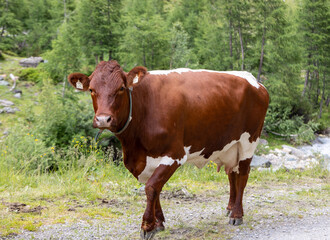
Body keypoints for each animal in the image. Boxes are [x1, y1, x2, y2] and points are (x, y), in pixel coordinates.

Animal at [68, 60, 270, 240]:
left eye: (121, 88)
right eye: (92, 90)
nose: (103, 119)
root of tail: (254, 81)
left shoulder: (174, 155)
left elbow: (151, 187)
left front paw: (147, 227)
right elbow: (155, 188)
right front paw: (158, 223)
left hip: (249, 141)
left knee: (242, 176)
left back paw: (237, 215)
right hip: (229, 146)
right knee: (232, 174)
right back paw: (230, 208)